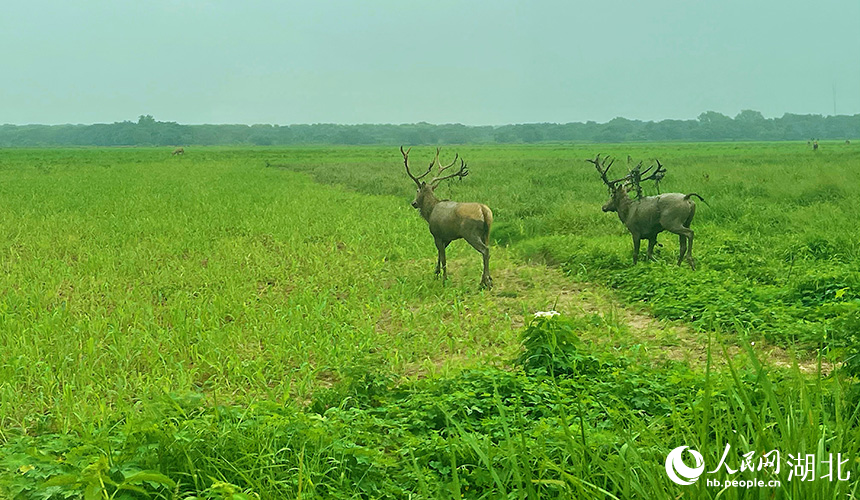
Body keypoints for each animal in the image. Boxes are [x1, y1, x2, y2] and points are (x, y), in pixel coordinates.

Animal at [402, 146, 494, 290]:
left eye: (417, 190)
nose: (414, 203)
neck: (430, 212)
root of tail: (484, 211)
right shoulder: (447, 237)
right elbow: (440, 254)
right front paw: (436, 273)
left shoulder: (437, 234)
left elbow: (443, 257)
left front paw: (444, 279)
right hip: (487, 233)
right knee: (487, 251)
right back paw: (486, 280)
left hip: (470, 233)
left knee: (485, 250)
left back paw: (485, 282)